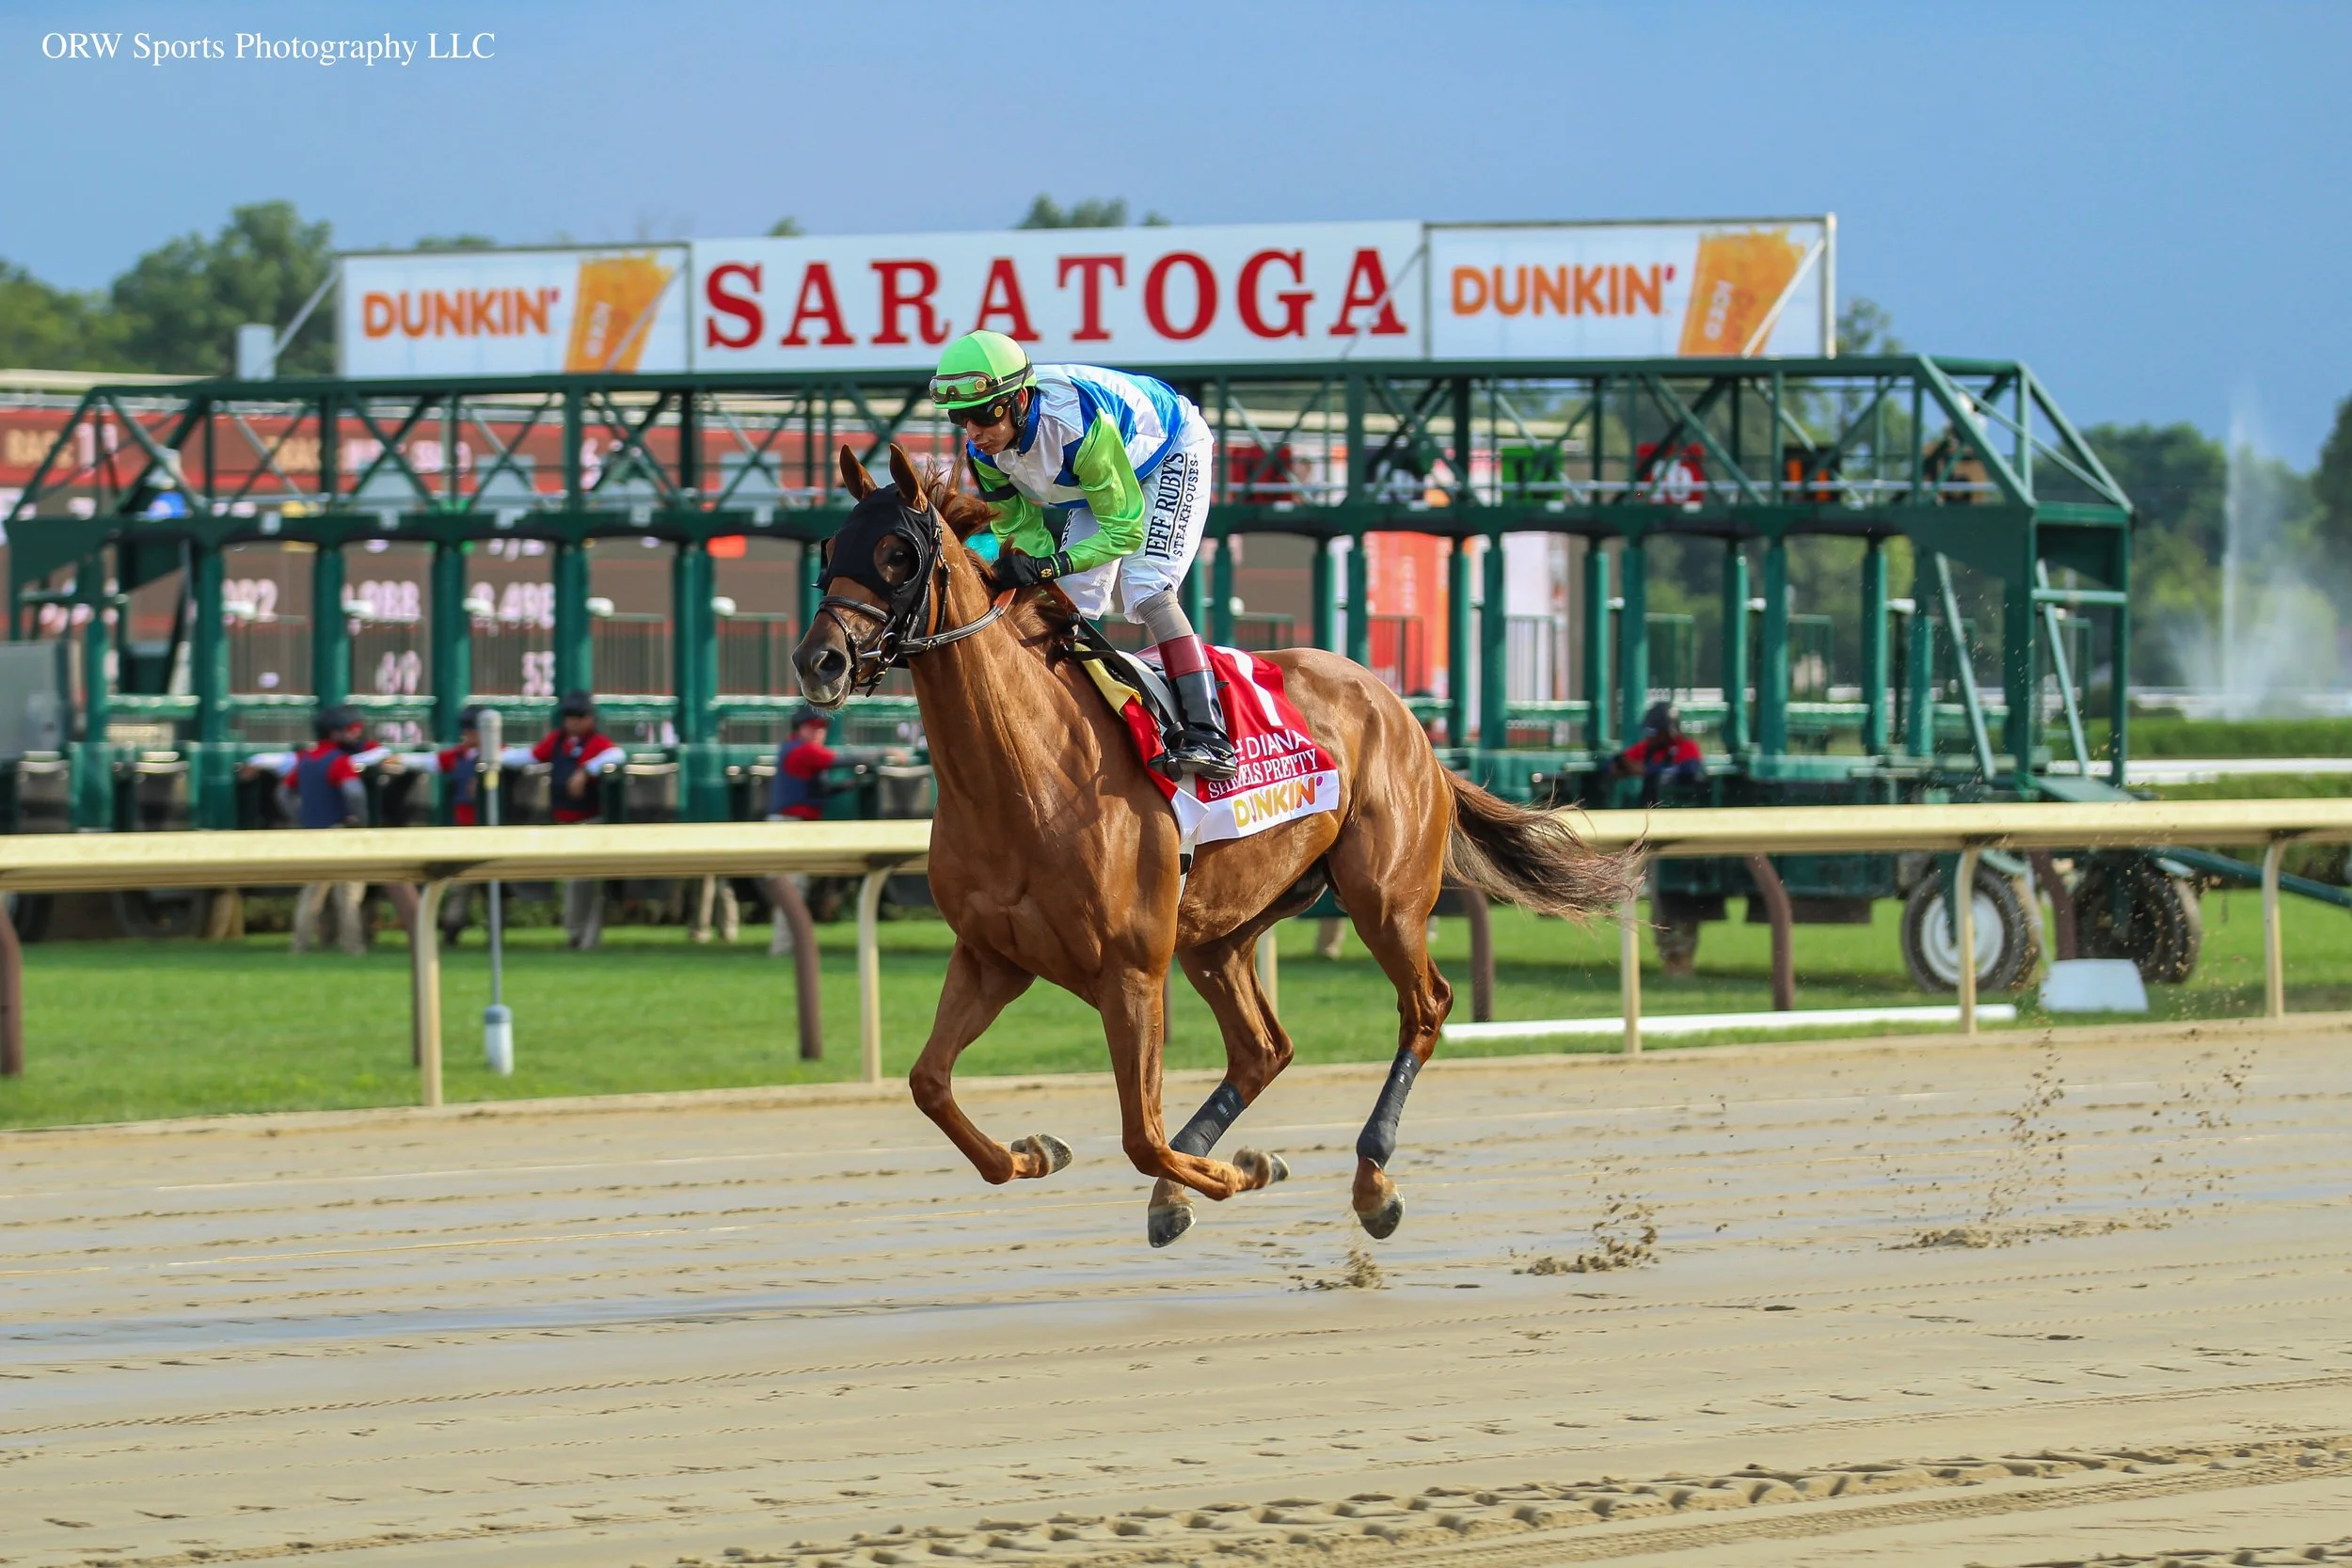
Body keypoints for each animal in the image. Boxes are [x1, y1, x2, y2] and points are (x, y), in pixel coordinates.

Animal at [793, 443, 1638, 1247]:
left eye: (898, 554)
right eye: (831, 546)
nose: (818, 660)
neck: (1025, 773)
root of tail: (1403, 714)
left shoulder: (1131, 970)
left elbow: (1141, 1135)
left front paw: (1242, 1172)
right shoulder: (992, 956)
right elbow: (929, 1083)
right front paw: (1036, 1151)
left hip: (1385, 898)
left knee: (1424, 1006)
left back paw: (1371, 1179)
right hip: (1219, 932)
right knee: (1263, 1046)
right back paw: (1184, 1191)